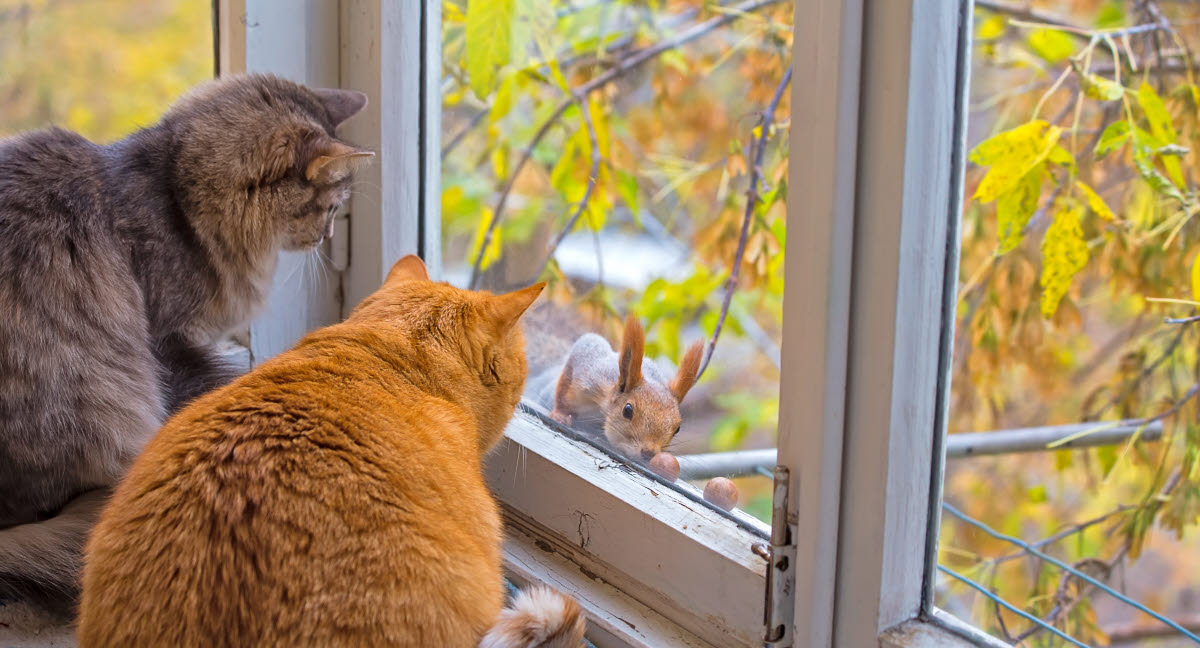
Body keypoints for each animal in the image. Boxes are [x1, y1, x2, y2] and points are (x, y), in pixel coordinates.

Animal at [525, 314, 700, 460]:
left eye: (678, 428)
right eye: (627, 410)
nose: (649, 453)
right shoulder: (592, 371)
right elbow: (566, 382)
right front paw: (560, 414)